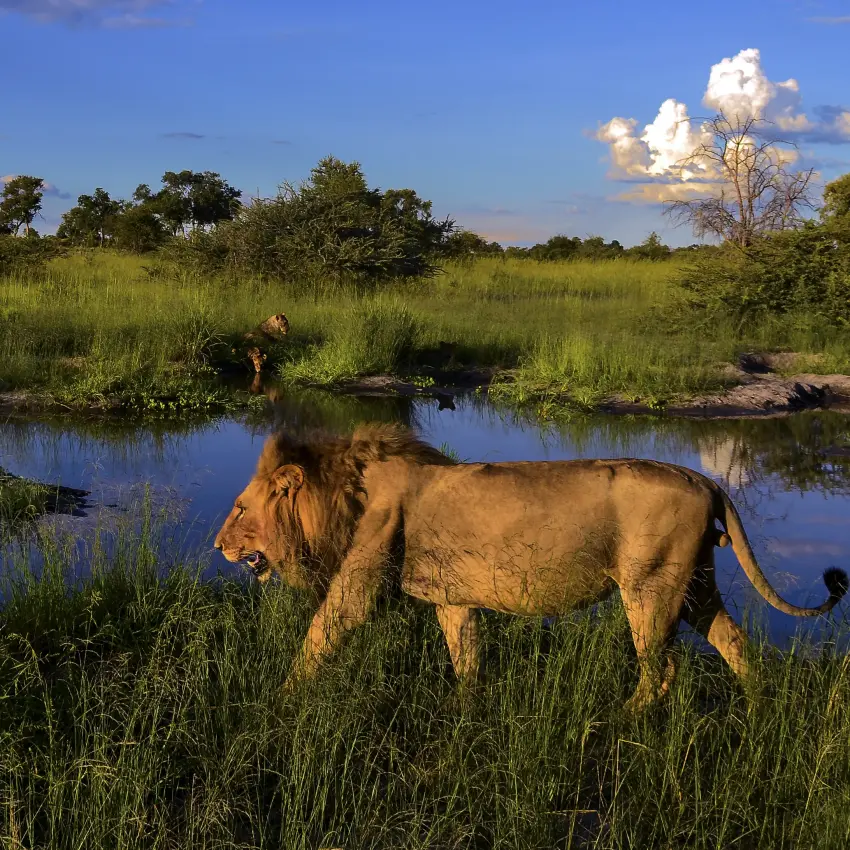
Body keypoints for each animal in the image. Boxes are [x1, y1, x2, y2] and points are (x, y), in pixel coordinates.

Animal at [214, 425, 848, 713]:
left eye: (240, 507)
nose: (217, 544)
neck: (343, 491)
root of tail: (704, 477)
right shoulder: (454, 600)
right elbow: (465, 657)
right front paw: (465, 712)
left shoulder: (358, 580)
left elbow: (320, 633)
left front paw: (279, 702)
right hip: (693, 586)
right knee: (733, 639)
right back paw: (760, 703)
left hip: (651, 588)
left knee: (662, 668)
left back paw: (622, 721)